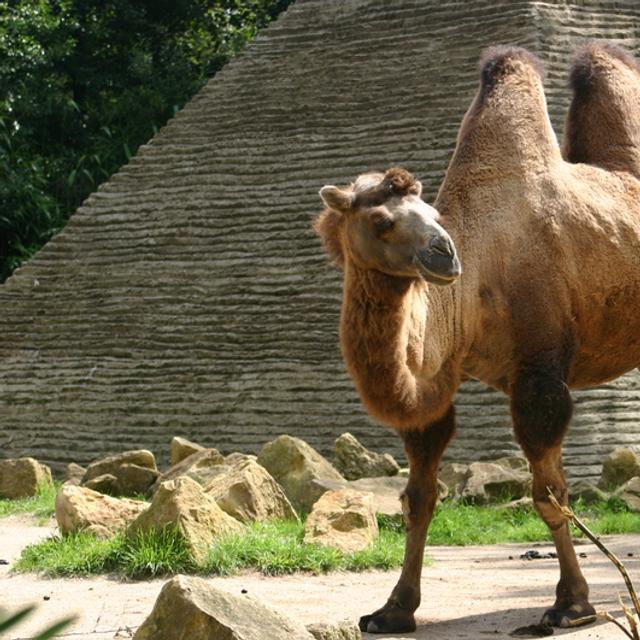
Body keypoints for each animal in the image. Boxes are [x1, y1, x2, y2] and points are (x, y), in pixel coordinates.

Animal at [314, 44, 640, 634]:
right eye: (381, 221)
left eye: (431, 213)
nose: (446, 254)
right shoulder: (434, 384)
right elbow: (418, 497)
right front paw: (393, 609)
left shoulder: (538, 373)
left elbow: (550, 495)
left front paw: (571, 605)